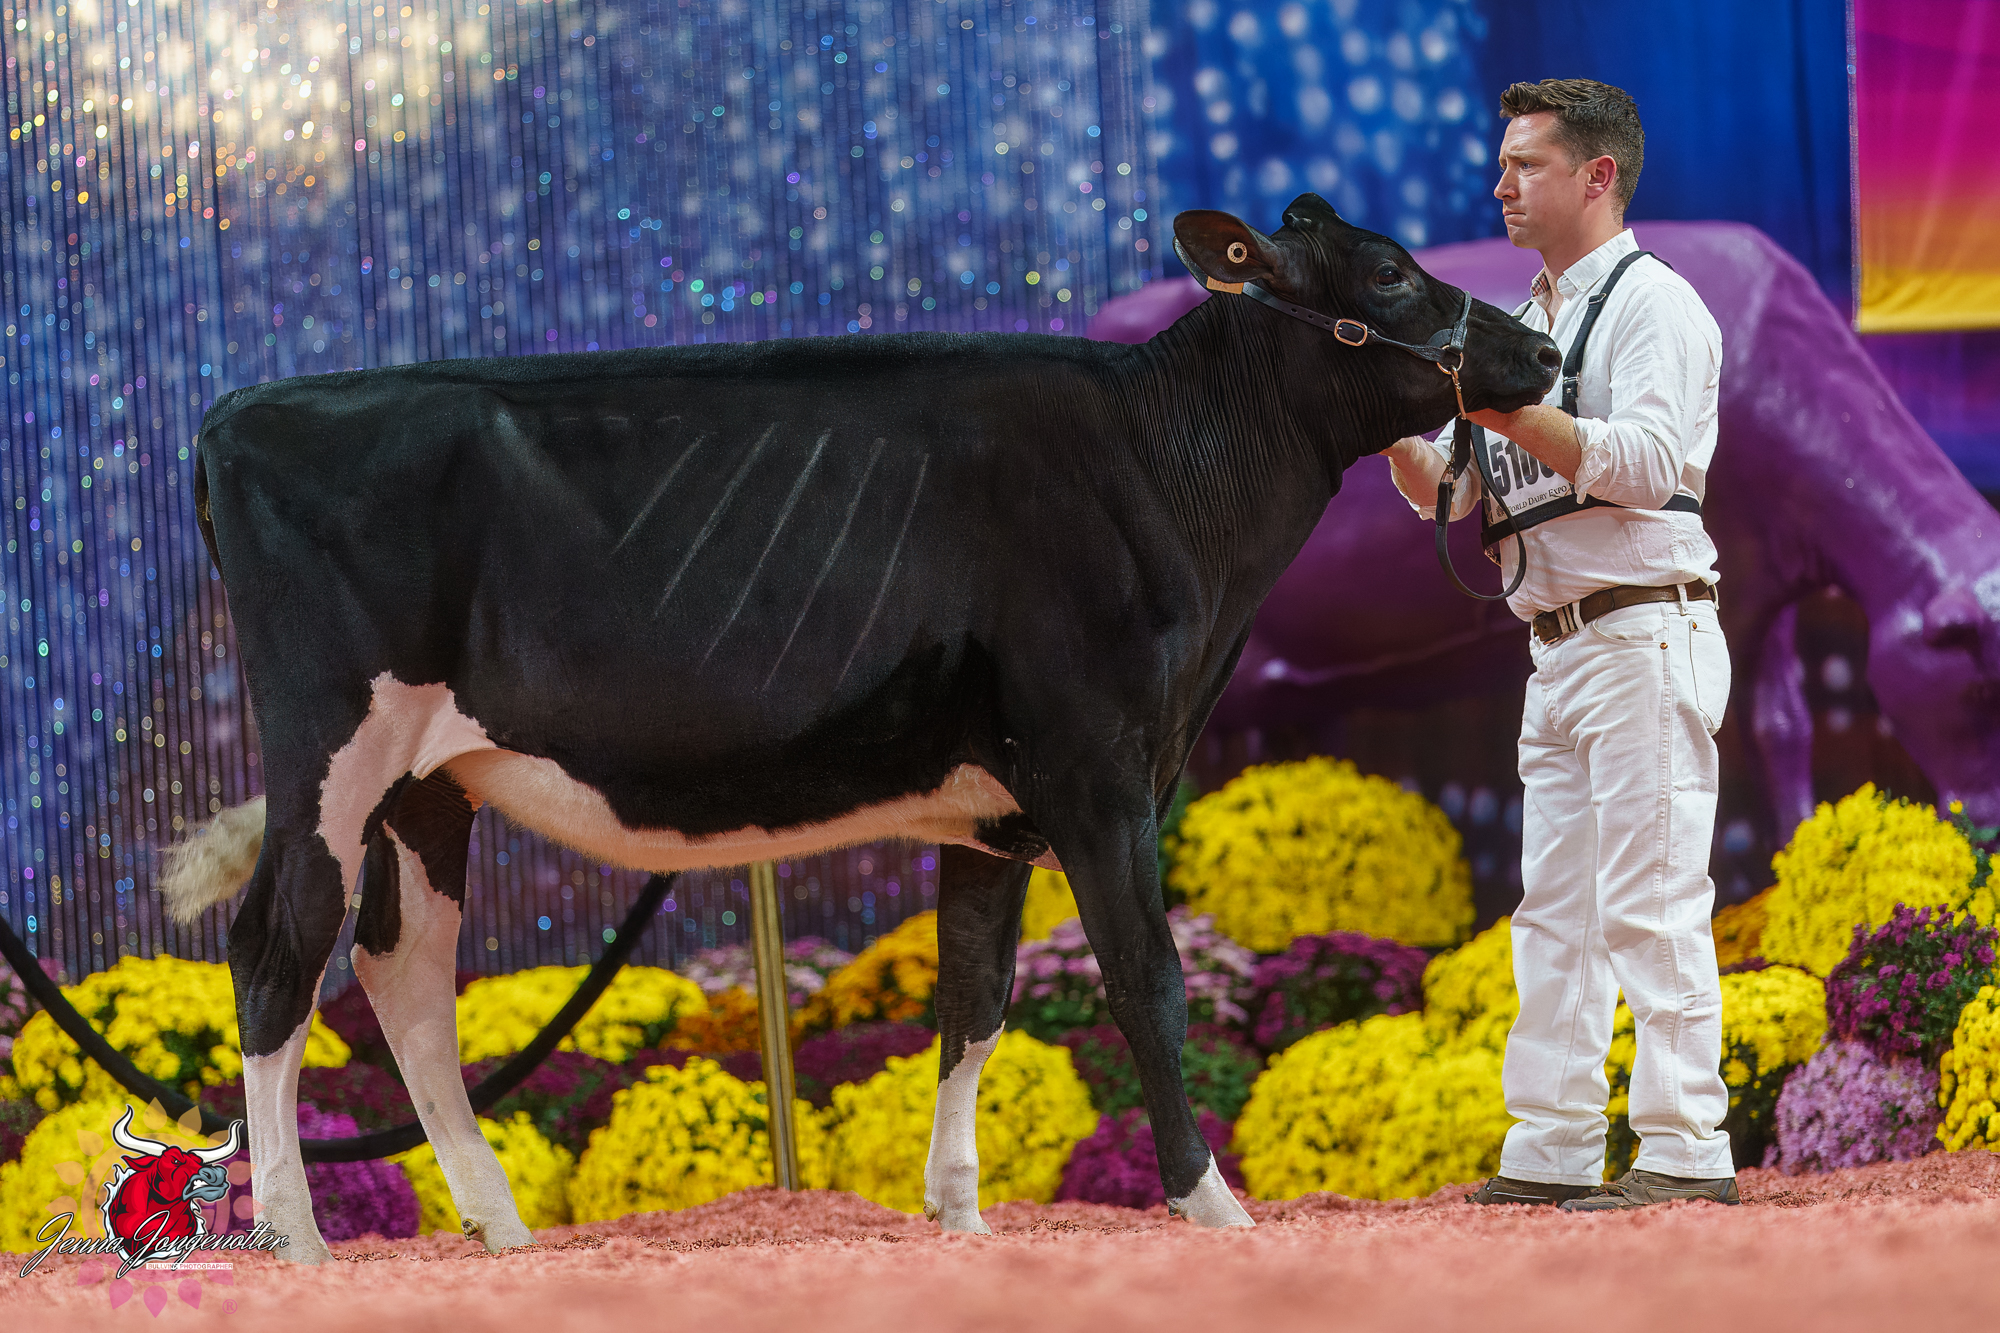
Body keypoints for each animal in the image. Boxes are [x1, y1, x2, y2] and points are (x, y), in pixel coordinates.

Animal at [158, 192, 1556, 1263]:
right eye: (1388, 270)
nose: (1539, 357)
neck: (1169, 472)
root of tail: (239, 410)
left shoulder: (997, 808)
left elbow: (973, 994)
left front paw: (958, 1213)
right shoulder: (1097, 766)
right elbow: (1144, 979)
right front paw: (1211, 1203)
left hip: (427, 782)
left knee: (401, 971)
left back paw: (497, 1227)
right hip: (331, 752)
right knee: (277, 949)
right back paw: (294, 1233)